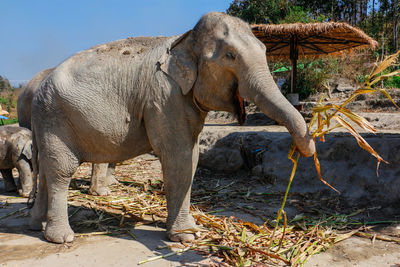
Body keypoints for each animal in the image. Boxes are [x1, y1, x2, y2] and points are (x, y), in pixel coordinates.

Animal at [28, 12, 316, 245]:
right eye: (230, 56)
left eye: (265, 49)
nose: (306, 150)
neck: (184, 39)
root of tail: (39, 89)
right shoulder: (165, 96)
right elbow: (178, 157)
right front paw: (186, 237)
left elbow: (192, 156)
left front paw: (191, 230)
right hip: (55, 119)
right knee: (61, 170)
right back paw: (61, 238)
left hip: (46, 122)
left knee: (46, 169)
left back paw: (36, 225)